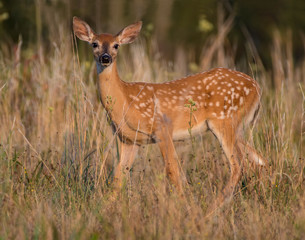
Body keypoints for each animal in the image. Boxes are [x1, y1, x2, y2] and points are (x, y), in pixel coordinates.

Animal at [72, 15, 264, 205]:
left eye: (116, 45)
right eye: (94, 44)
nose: (105, 58)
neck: (125, 101)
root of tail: (256, 87)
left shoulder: (162, 128)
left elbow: (172, 171)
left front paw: (183, 205)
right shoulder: (129, 140)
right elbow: (119, 177)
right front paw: (106, 207)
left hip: (225, 120)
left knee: (238, 165)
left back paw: (214, 207)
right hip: (238, 127)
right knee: (258, 160)